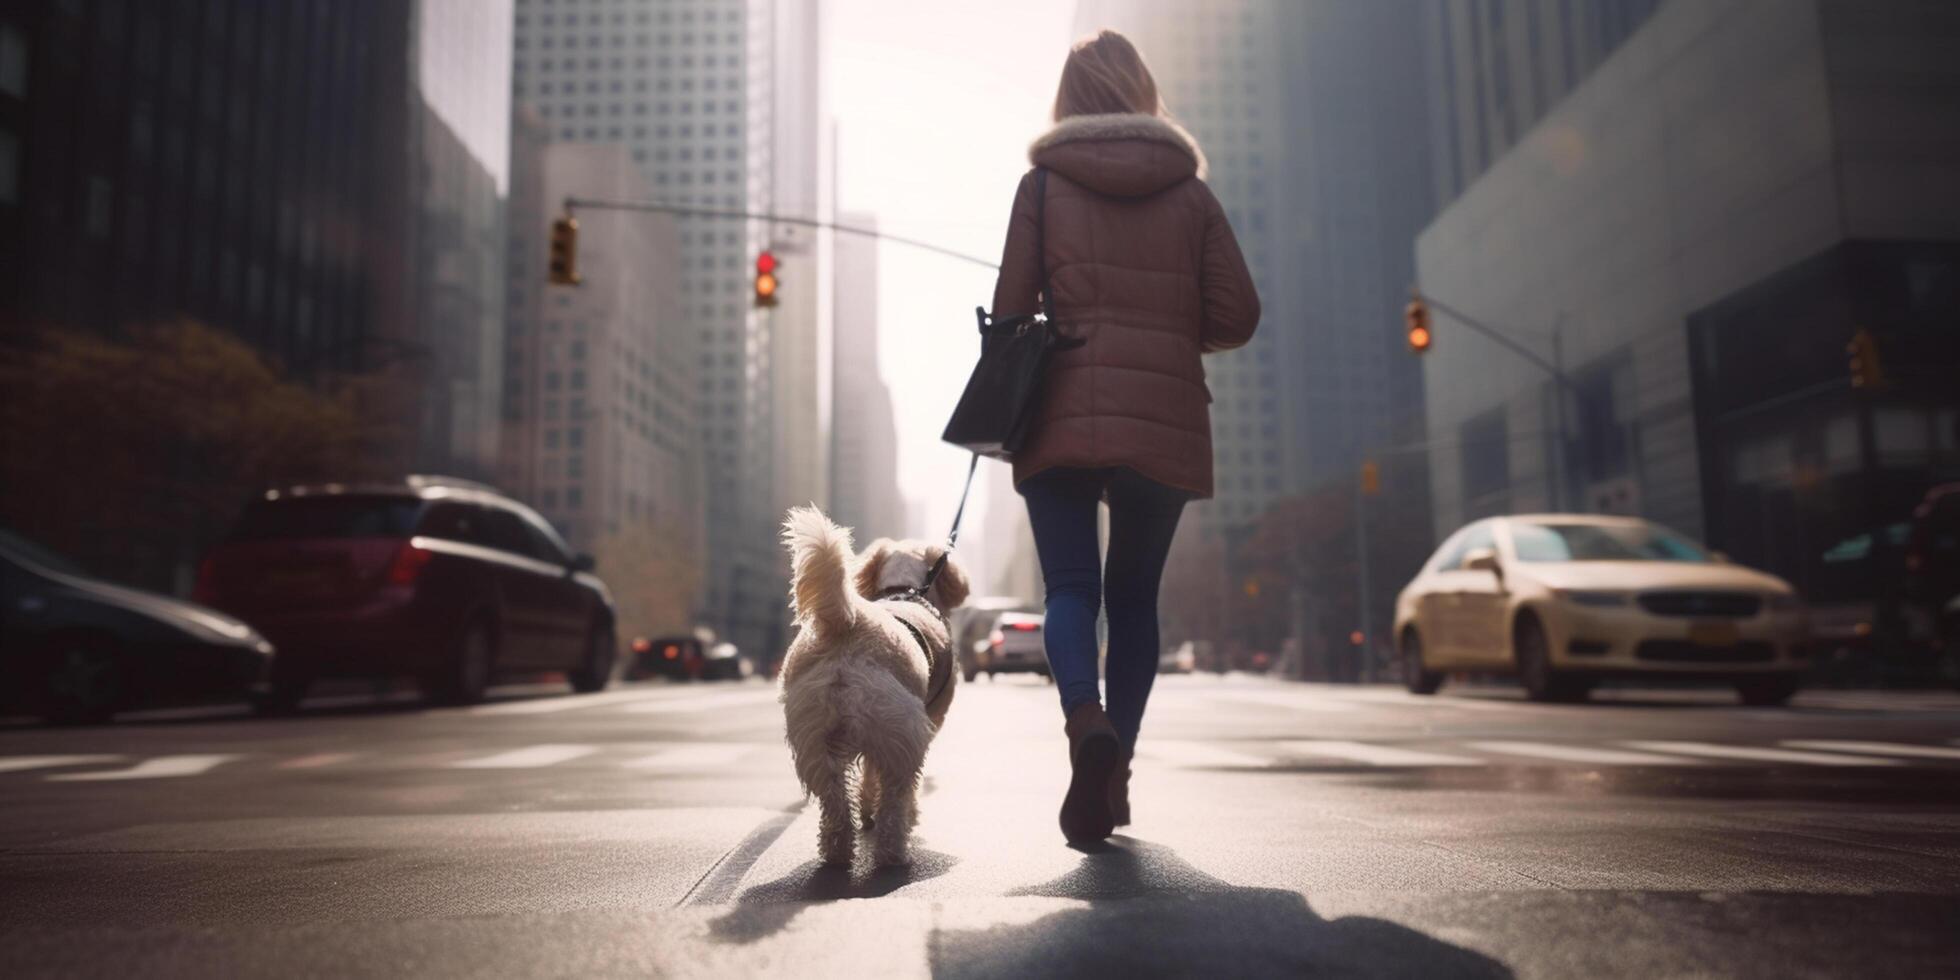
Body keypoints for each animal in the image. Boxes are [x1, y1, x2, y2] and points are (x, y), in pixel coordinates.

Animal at [776, 505, 968, 866]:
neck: (907, 590)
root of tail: (848, 627)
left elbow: (866, 776)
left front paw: (866, 811)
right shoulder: (929, 719)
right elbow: (880, 780)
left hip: (818, 738)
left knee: (834, 801)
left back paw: (837, 852)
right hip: (900, 733)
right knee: (895, 795)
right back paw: (893, 852)